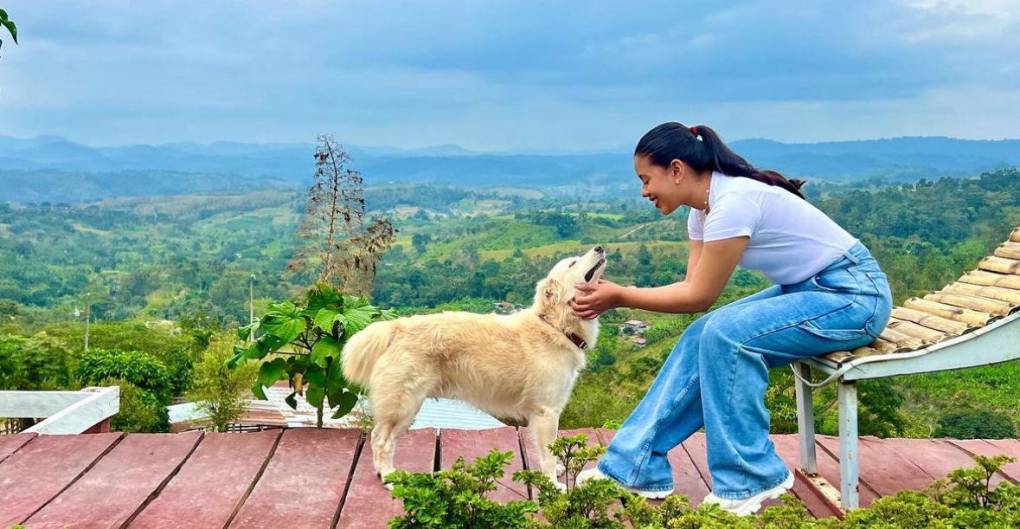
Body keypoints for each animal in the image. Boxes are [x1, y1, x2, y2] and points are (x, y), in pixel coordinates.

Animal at [342, 246, 603, 491]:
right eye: (573, 263)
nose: (600, 248)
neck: (555, 326)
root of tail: (397, 327)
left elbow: (553, 447)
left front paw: (557, 468)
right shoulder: (546, 412)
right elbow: (547, 453)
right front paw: (552, 483)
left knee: (376, 436)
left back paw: (381, 472)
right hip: (404, 405)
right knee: (382, 441)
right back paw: (389, 477)